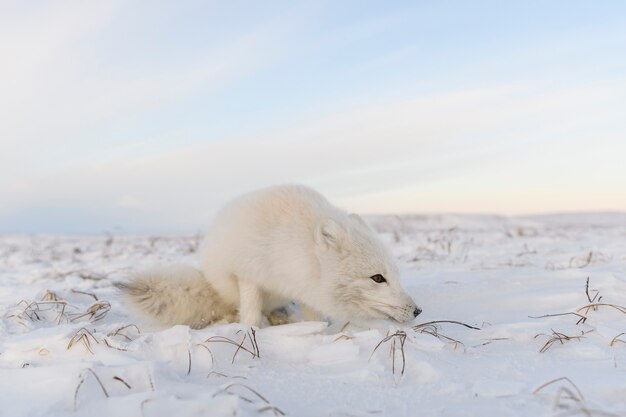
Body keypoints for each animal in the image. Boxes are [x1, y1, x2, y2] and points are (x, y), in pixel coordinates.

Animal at [117, 185, 420, 328]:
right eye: (377, 278)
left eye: (395, 275)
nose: (417, 311)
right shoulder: (247, 273)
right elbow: (250, 312)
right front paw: (248, 334)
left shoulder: (303, 286)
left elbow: (314, 315)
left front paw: (318, 328)